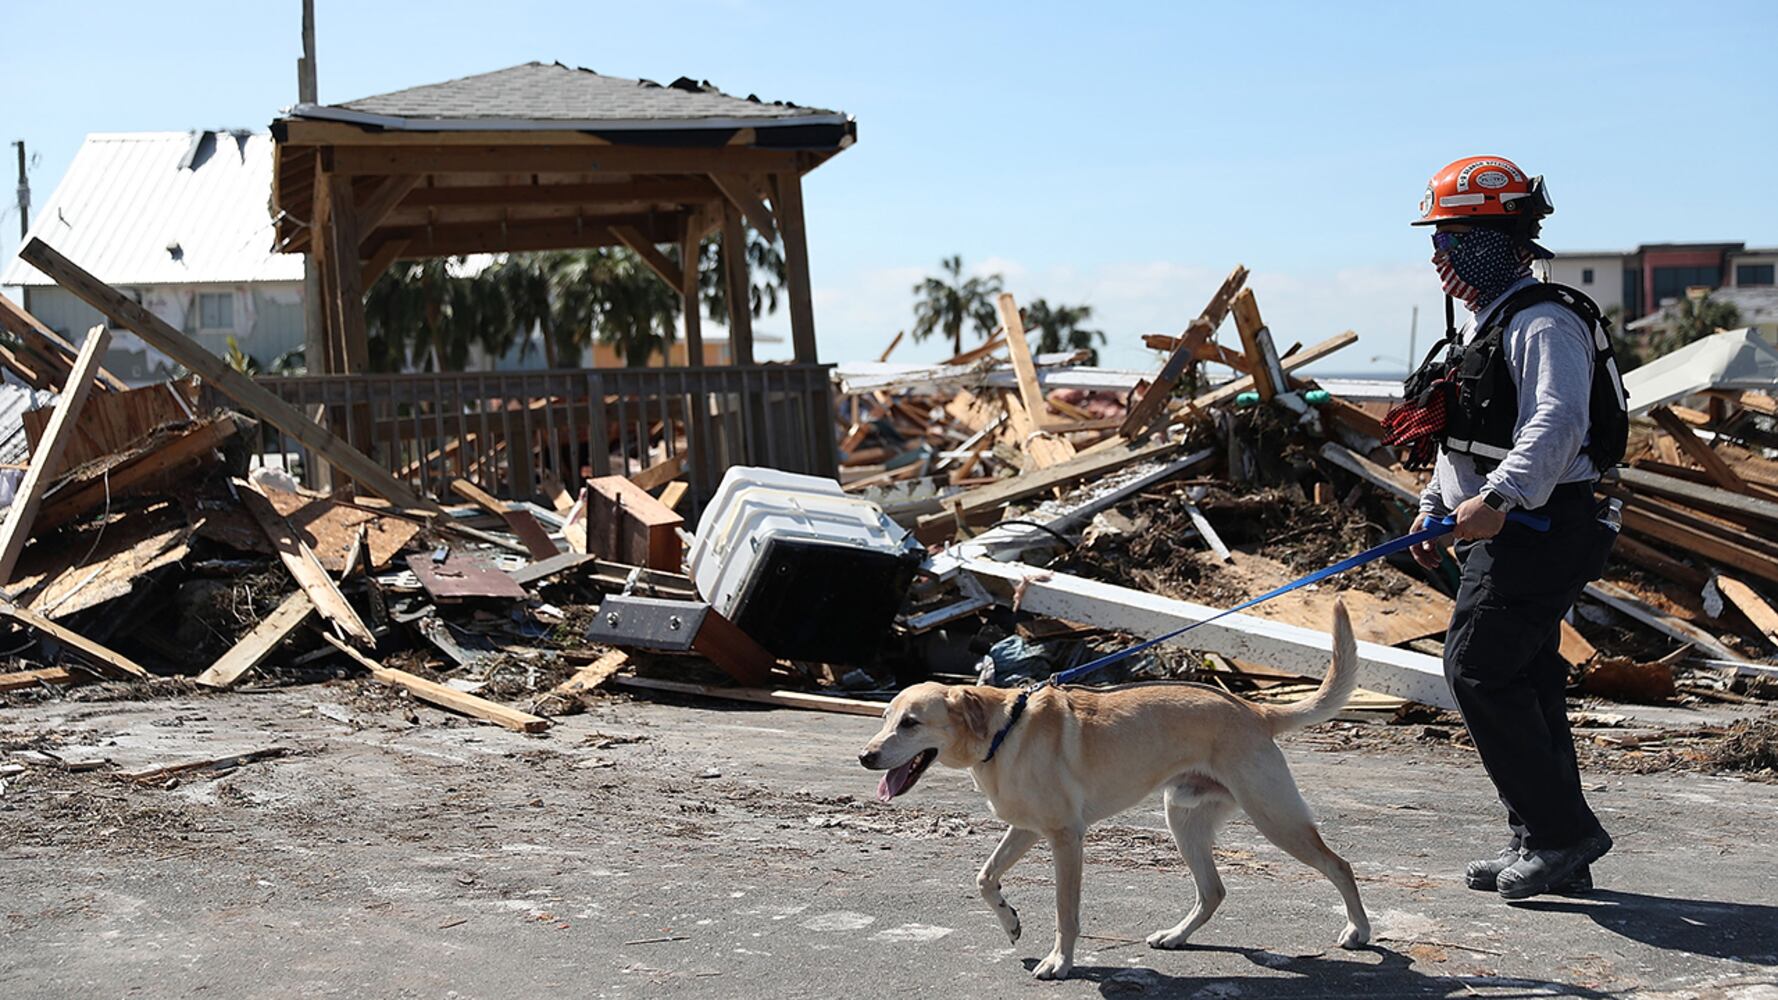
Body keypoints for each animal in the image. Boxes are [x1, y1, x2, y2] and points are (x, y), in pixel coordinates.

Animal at [853, 597, 1365, 975]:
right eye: (884, 718)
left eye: (911, 723)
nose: (865, 757)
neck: (1004, 731)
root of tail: (1254, 710)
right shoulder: (1026, 829)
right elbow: (984, 877)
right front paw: (1010, 921)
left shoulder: (1065, 839)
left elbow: (1066, 912)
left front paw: (1060, 963)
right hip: (1184, 820)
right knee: (1213, 891)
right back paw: (1176, 936)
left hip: (1275, 818)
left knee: (1339, 865)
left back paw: (1359, 931)